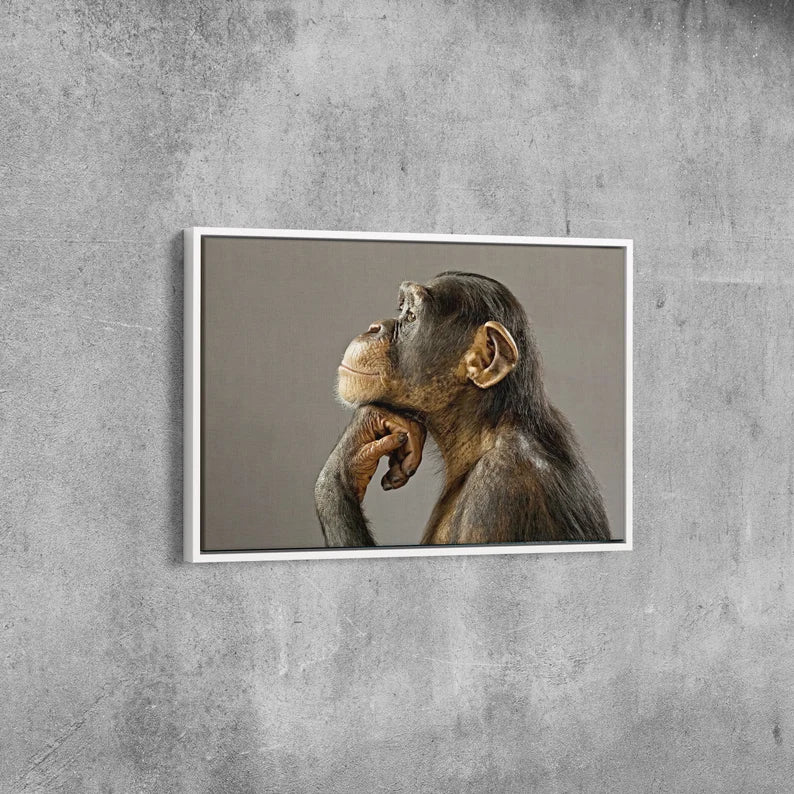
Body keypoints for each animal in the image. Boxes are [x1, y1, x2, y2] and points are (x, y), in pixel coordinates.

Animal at [314, 271, 611, 547]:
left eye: (411, 316)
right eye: (401, 309)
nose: (374, 326)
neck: (485, 430)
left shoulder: (500, 492)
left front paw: (349, 453)